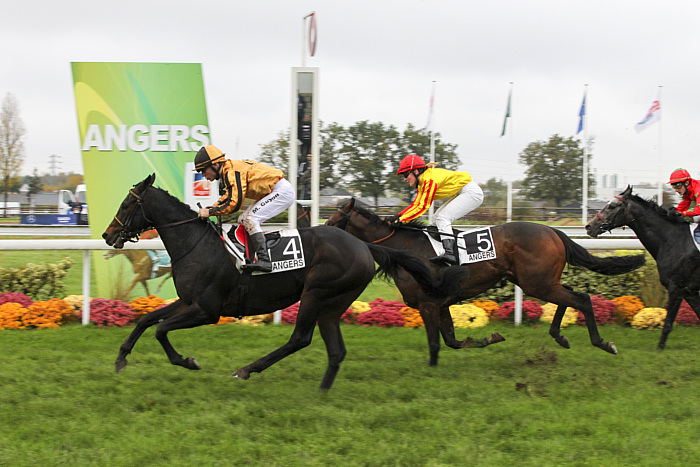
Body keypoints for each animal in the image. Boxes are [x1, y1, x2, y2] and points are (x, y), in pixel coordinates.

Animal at [102, 176, 442, 392]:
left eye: (126, 204)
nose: (107, 235)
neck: (196, 245)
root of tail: (363, 245)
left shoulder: (207, 311)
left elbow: (160, 329)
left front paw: (187, 361)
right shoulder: (188, 301)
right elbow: (146, 319)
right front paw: (120, 359)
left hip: (316, 292)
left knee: (300, 339)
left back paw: (247, 370)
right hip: (333, 305)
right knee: (336, 351)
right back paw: (321, 392)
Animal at [326, 197, 644, 366]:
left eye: (335, 220)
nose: (322, 232)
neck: (405, 248)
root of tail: (553, 231)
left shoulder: (428, 304)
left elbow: (435, 343)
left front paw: (430, 371)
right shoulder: (441, 303)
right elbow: (452, 340)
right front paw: (491, 337)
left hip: (538, 283)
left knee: (582, 299)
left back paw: (603, 343)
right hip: (541, 282)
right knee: (570, 296)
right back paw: (560, 336)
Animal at [584, 186, 700, 352]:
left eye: (612, 206)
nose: (589, 226)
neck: (673, 240)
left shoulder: (676, 288)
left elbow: (668, 324)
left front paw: (659, 350)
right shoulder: (689, 291)